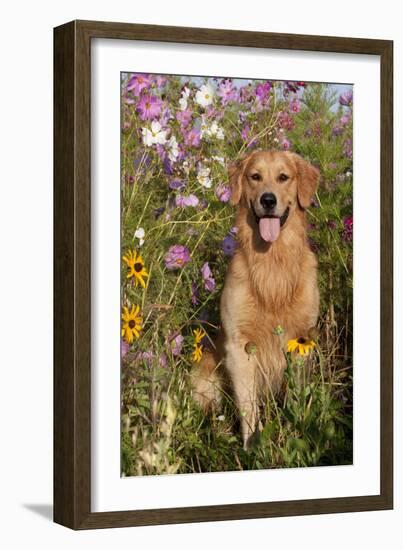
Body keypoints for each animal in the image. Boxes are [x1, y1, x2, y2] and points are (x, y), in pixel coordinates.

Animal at [191, 149, 320, 450]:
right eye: (255, 176)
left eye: (283, 177)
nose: (268, 200)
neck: (272, 263)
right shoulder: (240, 346)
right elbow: (248, 405)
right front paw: (253, 445)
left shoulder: (301, 340)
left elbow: (296, 396)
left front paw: (297, 430)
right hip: (205, 375)